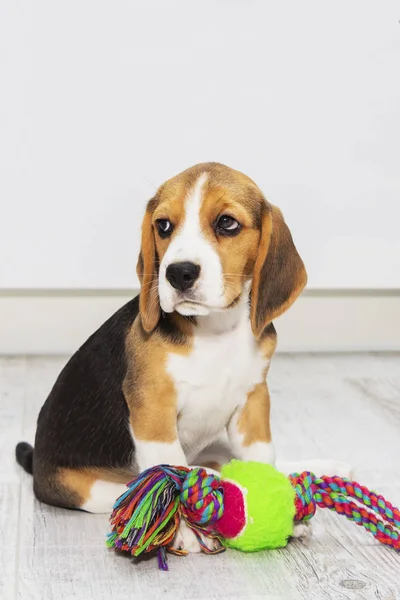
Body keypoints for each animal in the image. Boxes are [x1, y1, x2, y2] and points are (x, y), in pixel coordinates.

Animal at [15, 163, 348, 552]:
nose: (179, 273)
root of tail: (37, 463)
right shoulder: (153, 408)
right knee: (134, 485)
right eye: (163, 226)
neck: (215, 331)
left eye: (227, 223)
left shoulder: (254, 401)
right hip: (86, 487)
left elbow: (262, 456)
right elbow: (167, 469)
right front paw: (183, 529)